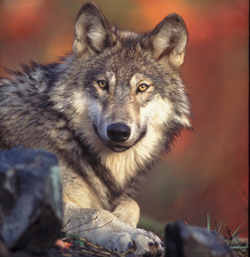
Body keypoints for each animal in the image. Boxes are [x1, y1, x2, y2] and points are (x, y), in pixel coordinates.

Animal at [0, 1, 191, 254]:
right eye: (102, 84)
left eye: (142, 87)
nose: (118, 131)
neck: (67, 132)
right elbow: (97, 214)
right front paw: (134, 235)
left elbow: (132, 203)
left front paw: (125, 222)